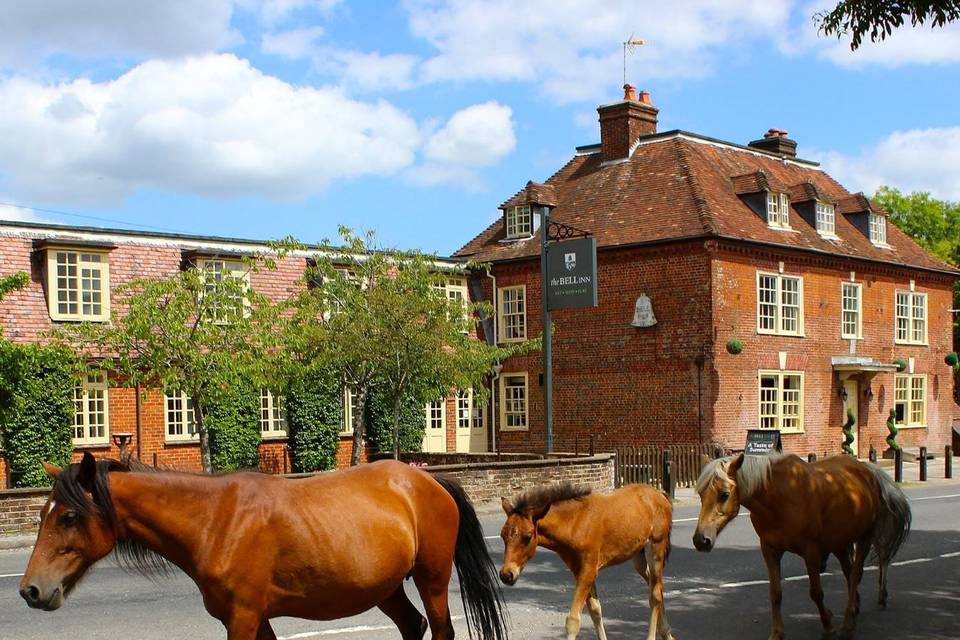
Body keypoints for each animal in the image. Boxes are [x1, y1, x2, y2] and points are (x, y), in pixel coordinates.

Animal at [18, 450, 506, 640]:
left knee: (439, 628)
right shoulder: (255, 618)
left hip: (432, 579)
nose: (31, 590)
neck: (216, 521)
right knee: (412, 625)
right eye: (43, 515)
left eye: (68, 516)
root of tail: (427, 480)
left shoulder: (243, 618)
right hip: (385, 588)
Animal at [496, 482, 676, 640]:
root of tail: (660, 494)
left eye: (527, 537)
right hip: (638, 556)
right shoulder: (578, 571)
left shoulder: (589, 570)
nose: (506, 574)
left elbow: (573, 620)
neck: (575, 524)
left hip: (656, 547)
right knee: (656, 585)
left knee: (655, 594)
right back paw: (667, 632)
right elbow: (595, 610)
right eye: (502, 535)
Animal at [692, 452, 912, 636]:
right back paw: (855, 608)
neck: (779, 499)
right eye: (701, 494)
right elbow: (775, 594)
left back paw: (849, 620)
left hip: (865, 537)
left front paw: (828, 624)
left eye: (724, 494)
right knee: (849, 573)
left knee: (856, 574)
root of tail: (867, 470)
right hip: (840, 543)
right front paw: (777, 633)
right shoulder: (770, 551)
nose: (700, 540)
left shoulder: (811, 551)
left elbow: (816, 592)